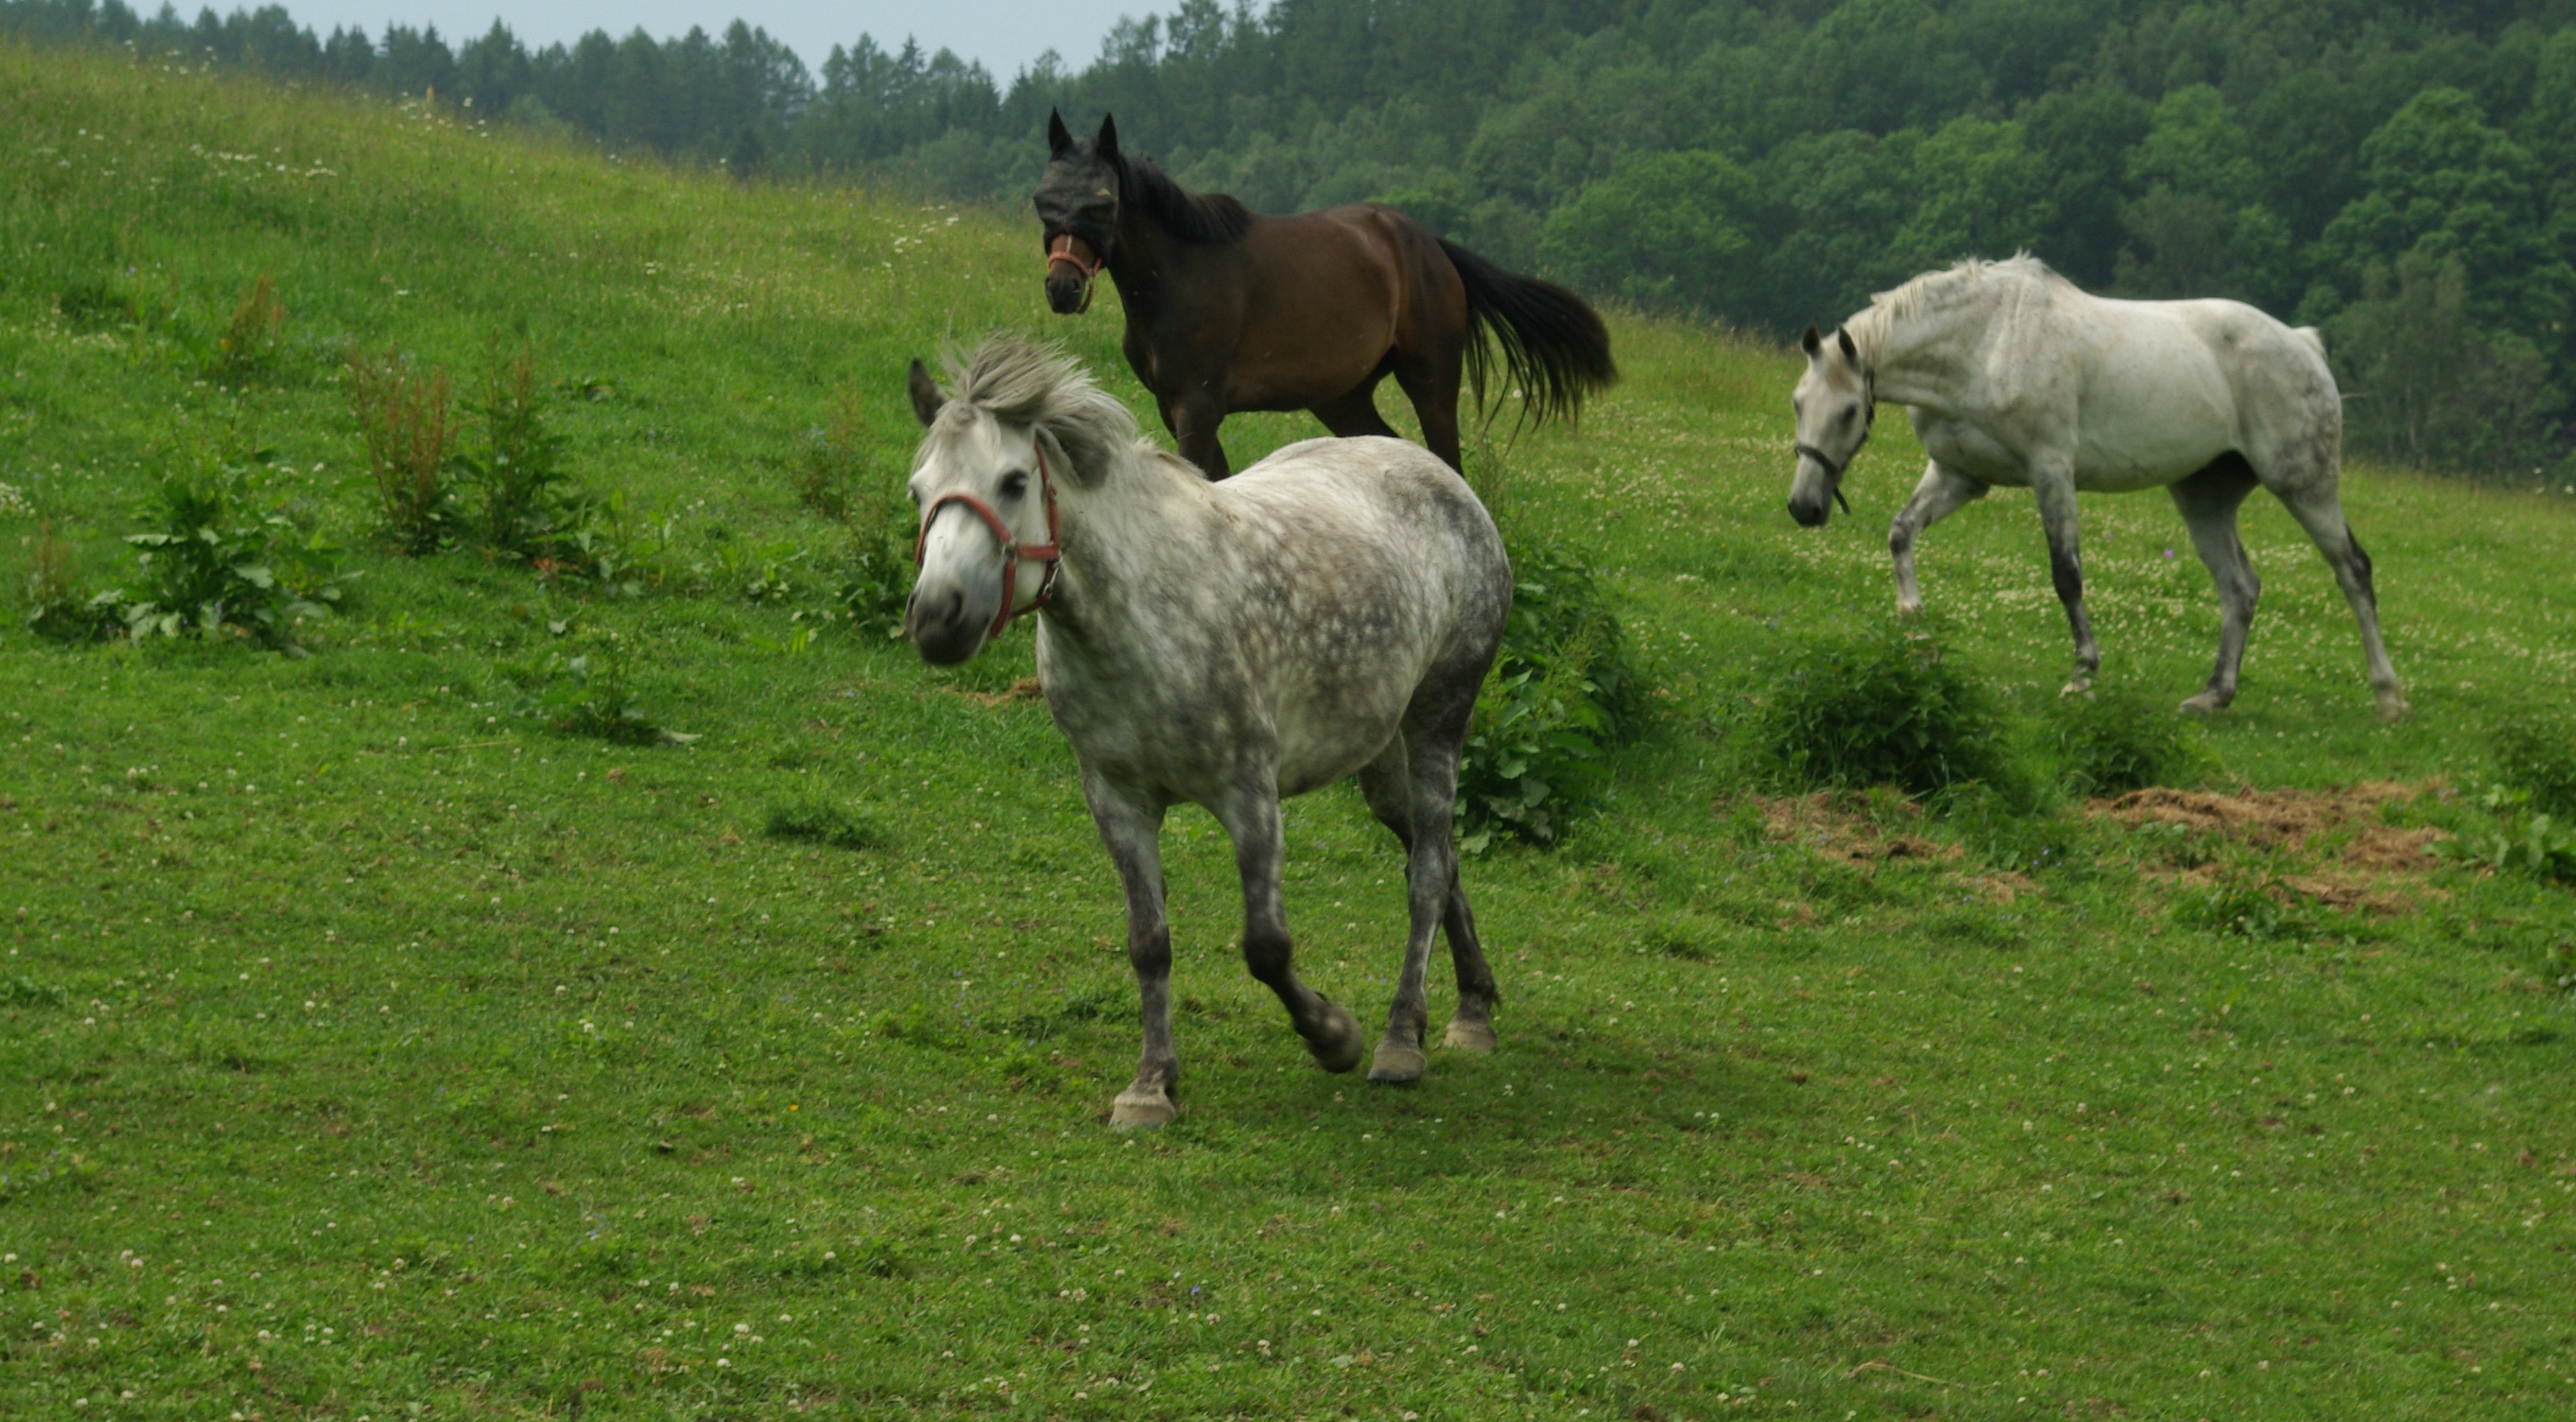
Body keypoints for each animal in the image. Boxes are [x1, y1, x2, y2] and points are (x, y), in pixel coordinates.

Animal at [901, 335, 1513, 1128]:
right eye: (919, 491)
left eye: (1012, 481)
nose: (937, 618)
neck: (1138, 621)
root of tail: (1444, 478)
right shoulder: (1117, 799)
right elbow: (1148, 943)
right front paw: (1150, 1085)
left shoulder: (1248, 792)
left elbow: (1265, 946)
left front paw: (1332, 1036)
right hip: (1380, 757)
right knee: (1435, 855)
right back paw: (1472, 1008)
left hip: (1439, 716)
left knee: (1429, 874)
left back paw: (1399, 1040)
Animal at [1033, 110, 1617, 479]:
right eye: (1044, 200)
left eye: (1103, 204)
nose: (1063, 288)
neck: (1178, 273)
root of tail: (1431, 247)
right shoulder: (1173, 404)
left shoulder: (1197, 406)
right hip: (1343, 397)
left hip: (1430, 383)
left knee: (1448, 461)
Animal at [1786, 255, 2407, 721]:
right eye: (1797, 403)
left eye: (1847, 411)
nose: (1804, 506)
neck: (1985, 342)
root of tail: (2304, 345)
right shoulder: (1960, 476)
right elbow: (1901, 532)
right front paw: (1915, 626)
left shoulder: (2051, 470)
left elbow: (2067, 575)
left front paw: (2083, 674)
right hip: (2204, 497)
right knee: (2240, 588)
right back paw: (2214, 694)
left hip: (2304, 485)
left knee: (2353, 570)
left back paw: (2388, 696)